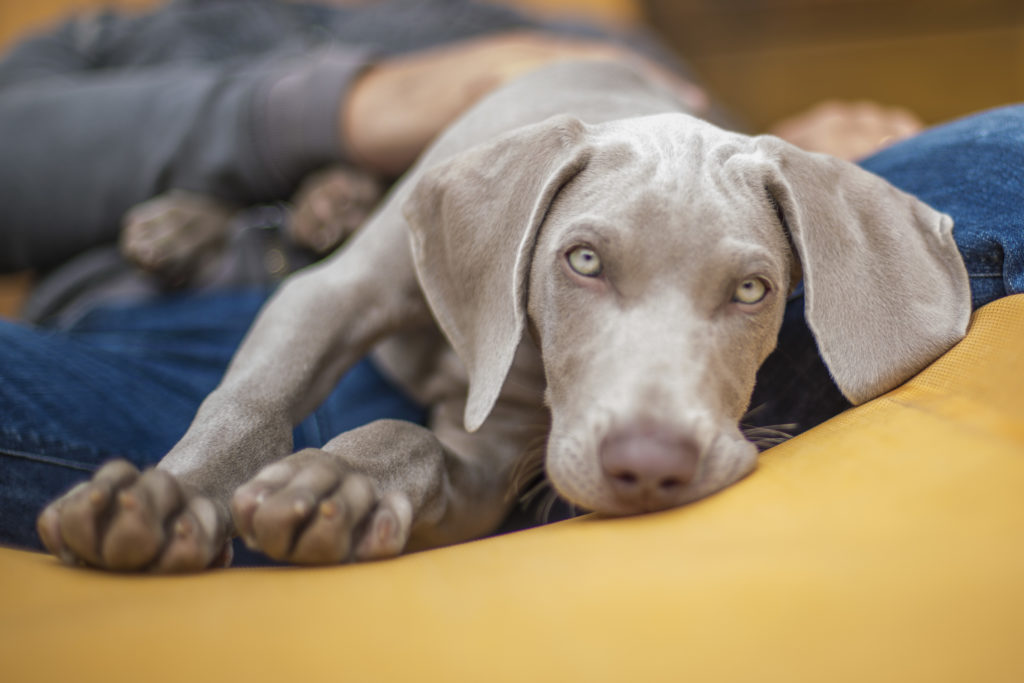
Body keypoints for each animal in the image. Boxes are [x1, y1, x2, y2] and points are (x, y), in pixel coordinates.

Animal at [37, 60, 966, 573]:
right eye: (582, 261)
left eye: (753, 290)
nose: (650, 466)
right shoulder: (333, 295)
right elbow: (249, 403)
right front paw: (163, 503)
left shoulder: (495, 461)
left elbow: (411, 440)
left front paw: (334, 485)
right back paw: (193, 223)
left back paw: (321, 205)